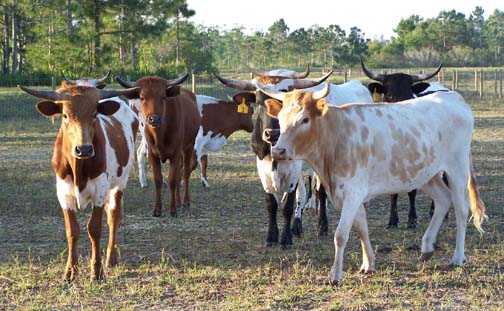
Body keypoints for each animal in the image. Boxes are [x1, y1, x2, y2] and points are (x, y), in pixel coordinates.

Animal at [18, 84, 140, 282]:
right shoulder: (63, 194)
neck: (78, 168)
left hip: (120, 182)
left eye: (94, 114)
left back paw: (111, 258)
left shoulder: (100, 191)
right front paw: (70, 270)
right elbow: (72, 230)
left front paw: (97, 271)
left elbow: (94, 229)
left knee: (114, 216)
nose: (84, 149)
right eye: (65, 115)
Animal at [115, 74, 200, 218]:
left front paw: (172, 210)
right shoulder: (152, 155)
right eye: (142, 97)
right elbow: (158, 180)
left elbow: (172, 180)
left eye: (163, 96)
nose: (154, 119)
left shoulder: (175, 154)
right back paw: (178, 201)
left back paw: (185, 201)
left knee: (185, 174)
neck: (161, 134)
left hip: (188, 147)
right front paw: (157, 209)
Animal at [266, 83, 486, 288]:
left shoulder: (353, 192)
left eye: (304, 119)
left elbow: (341, 234)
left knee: (461, 209)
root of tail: (454, 97)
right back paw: (426, 247)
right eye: (281, 118)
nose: (278, 150)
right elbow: (361, 228)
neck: (335, 136)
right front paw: (368, 264)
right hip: (427, 174)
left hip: (457, 168)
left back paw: (457, 257)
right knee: (442, 200)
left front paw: (334, 275)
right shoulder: (352, 194)